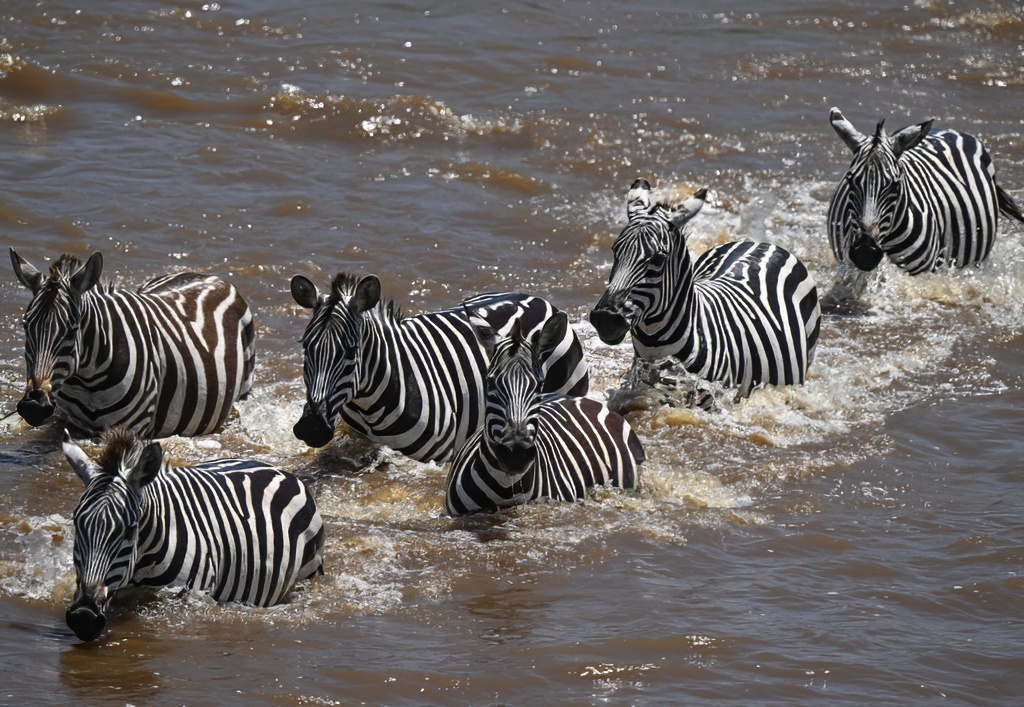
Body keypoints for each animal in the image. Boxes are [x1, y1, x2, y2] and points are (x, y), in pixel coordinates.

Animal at [9, 249, 256, 438]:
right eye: (25, 325)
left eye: (72, 330)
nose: (33, 407)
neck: (87, 382)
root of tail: (208, 276)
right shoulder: (67, 423)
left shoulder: (135, 429)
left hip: (243, 389)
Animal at [61, 427, 324, 642]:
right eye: (77, 523)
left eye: (129, 529)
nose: (83, 618)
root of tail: (270, 465)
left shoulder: (187, 596)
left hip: (309, 570)